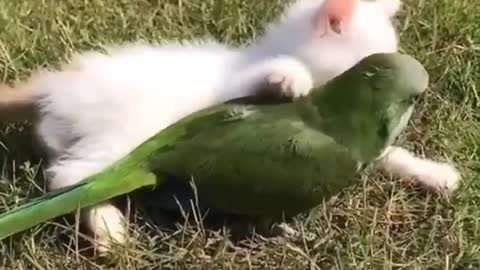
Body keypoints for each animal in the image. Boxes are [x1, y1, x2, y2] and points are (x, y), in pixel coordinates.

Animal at [0, 0, 458, 252]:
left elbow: (385, 154)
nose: (409, 86)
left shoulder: (346, 138)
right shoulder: (241, 86)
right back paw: (109, 228)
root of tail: (56, 84)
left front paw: (433, 173)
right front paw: (290, 78)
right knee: (71, 177)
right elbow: (270, 78)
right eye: (371, 61)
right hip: (124, 137)